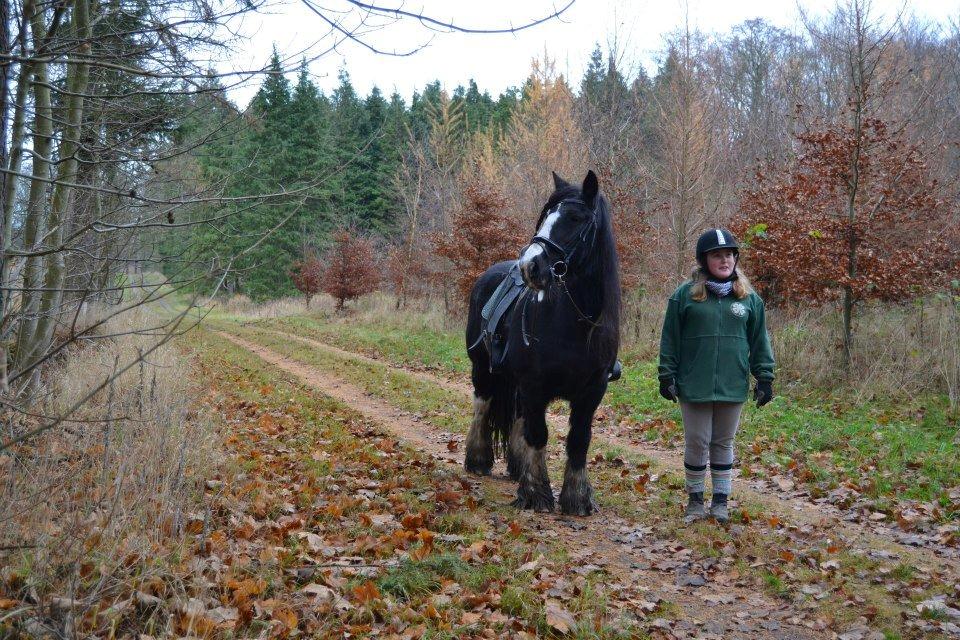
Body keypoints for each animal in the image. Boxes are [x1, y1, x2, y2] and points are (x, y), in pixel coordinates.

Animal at [464, 170, 624, 516]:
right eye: (545, 216)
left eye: (576, 218)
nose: (530, 266)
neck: (575, 323)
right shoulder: (534, 383)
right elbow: (538, 434)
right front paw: (536, 493)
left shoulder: (593, 390)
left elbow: (578, 439)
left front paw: (577, 498)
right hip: (483, 369)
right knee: (483, 405)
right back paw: (478, 459)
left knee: (518, 416)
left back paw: (516, 466)